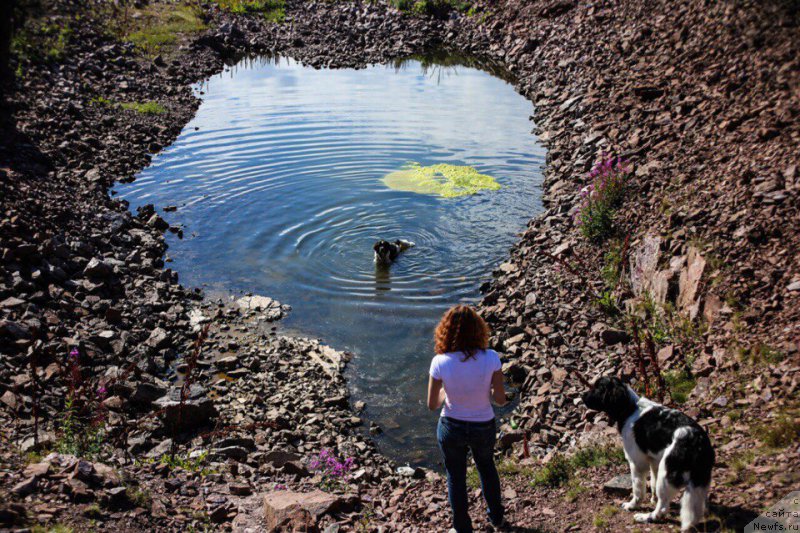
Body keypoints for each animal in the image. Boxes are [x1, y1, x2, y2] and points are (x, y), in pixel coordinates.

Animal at [580, 376, 712, 528]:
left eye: (598, 388)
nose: (582, 395)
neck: (629, 408)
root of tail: (697, 440)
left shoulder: (637, 463)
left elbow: (637, 489)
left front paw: (632, 505)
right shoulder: (654, 460)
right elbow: (652, 483)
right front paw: (652, 500)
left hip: (666, 474)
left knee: (663, 507)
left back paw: (646, 517)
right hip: (697, 480)